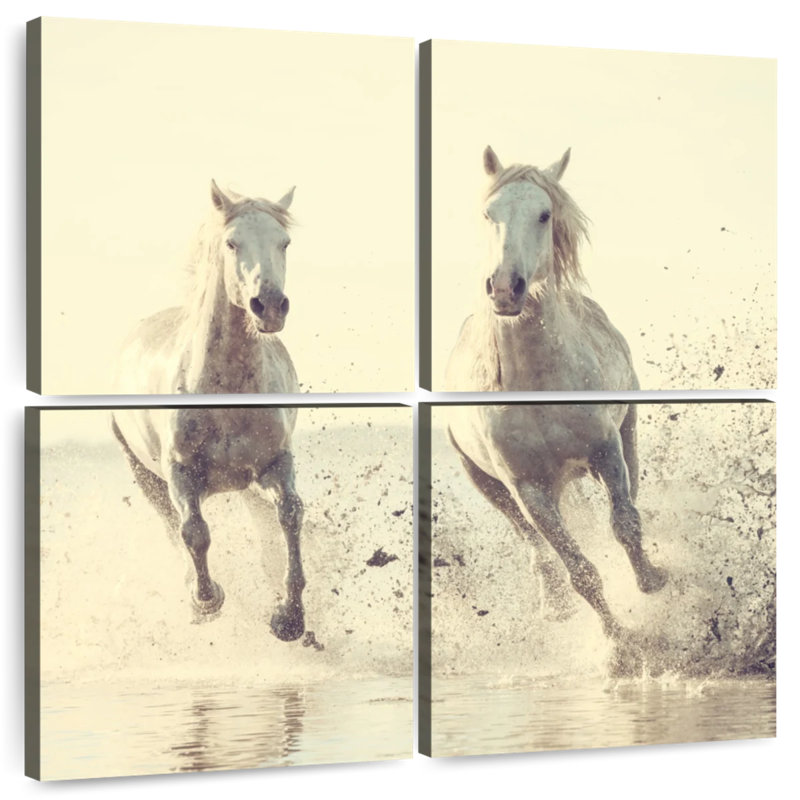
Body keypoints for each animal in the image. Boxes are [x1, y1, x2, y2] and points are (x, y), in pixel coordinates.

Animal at [111, 180, 306, 641]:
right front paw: (207, 600)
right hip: (145, 475)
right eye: (232, 243)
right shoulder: (181, 473)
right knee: (172, 527)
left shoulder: (276, 462)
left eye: (284, 242)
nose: (270, 305)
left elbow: (289, 515)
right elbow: (194, 532)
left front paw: (289, 617)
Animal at [445, 146, 667, 642]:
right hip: (488, 484)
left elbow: (625, 523)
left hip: (627, 430)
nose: (504, 288)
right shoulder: (529, 489)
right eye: (488, 213)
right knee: (533, 544)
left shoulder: (605, 449)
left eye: (544, 214)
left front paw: (650, 580)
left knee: (631, 493)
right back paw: (554, 603)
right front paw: (618, 643)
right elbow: (578, 569)